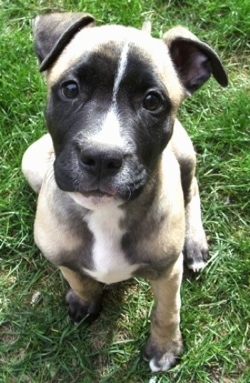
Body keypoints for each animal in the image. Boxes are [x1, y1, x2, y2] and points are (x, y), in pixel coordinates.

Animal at [21, 12, 228, 372]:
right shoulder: (60, 254)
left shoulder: (167, 273)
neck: (104, 214)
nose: (102, 158)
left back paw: (195, 244)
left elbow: (167, 312)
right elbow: (77, 277)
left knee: (191, 191)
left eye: (152, 101)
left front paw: (164, 349)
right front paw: (85, 301)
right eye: (70, 88)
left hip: (184, 154)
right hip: (31, 162)